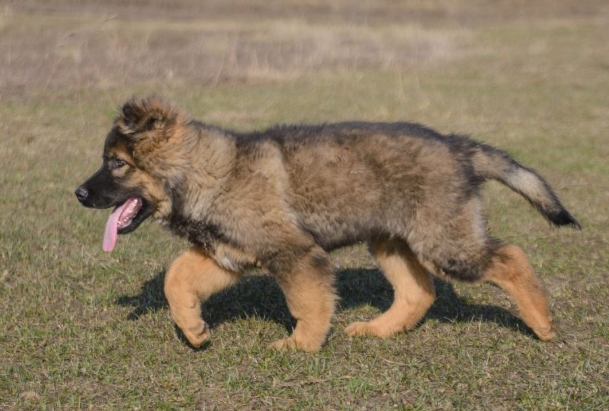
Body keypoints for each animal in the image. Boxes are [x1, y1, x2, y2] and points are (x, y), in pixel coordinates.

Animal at [76, 96, 580, 350]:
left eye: (116, 163)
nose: (78, 194)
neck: (205, 173)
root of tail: (457, 146)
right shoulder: (227, 255)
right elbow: (177, 279)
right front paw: (195, 331)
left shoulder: (296, 253)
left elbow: (307, 303)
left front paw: (301, 345)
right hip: (392, 241)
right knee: (418, 292)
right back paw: (377, 330)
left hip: (445, 243)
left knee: (510, 257)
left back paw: (542, 324)